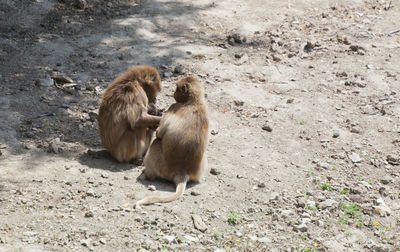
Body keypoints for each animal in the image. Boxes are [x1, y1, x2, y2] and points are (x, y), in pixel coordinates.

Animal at [135, 76, 209, 209]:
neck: (193, 102)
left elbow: (159, 134)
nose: (173, 94)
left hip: (162, 166)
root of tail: (182, 172)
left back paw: (148, 174)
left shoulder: (174, 106)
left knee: (156, 142)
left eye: (177, 89)